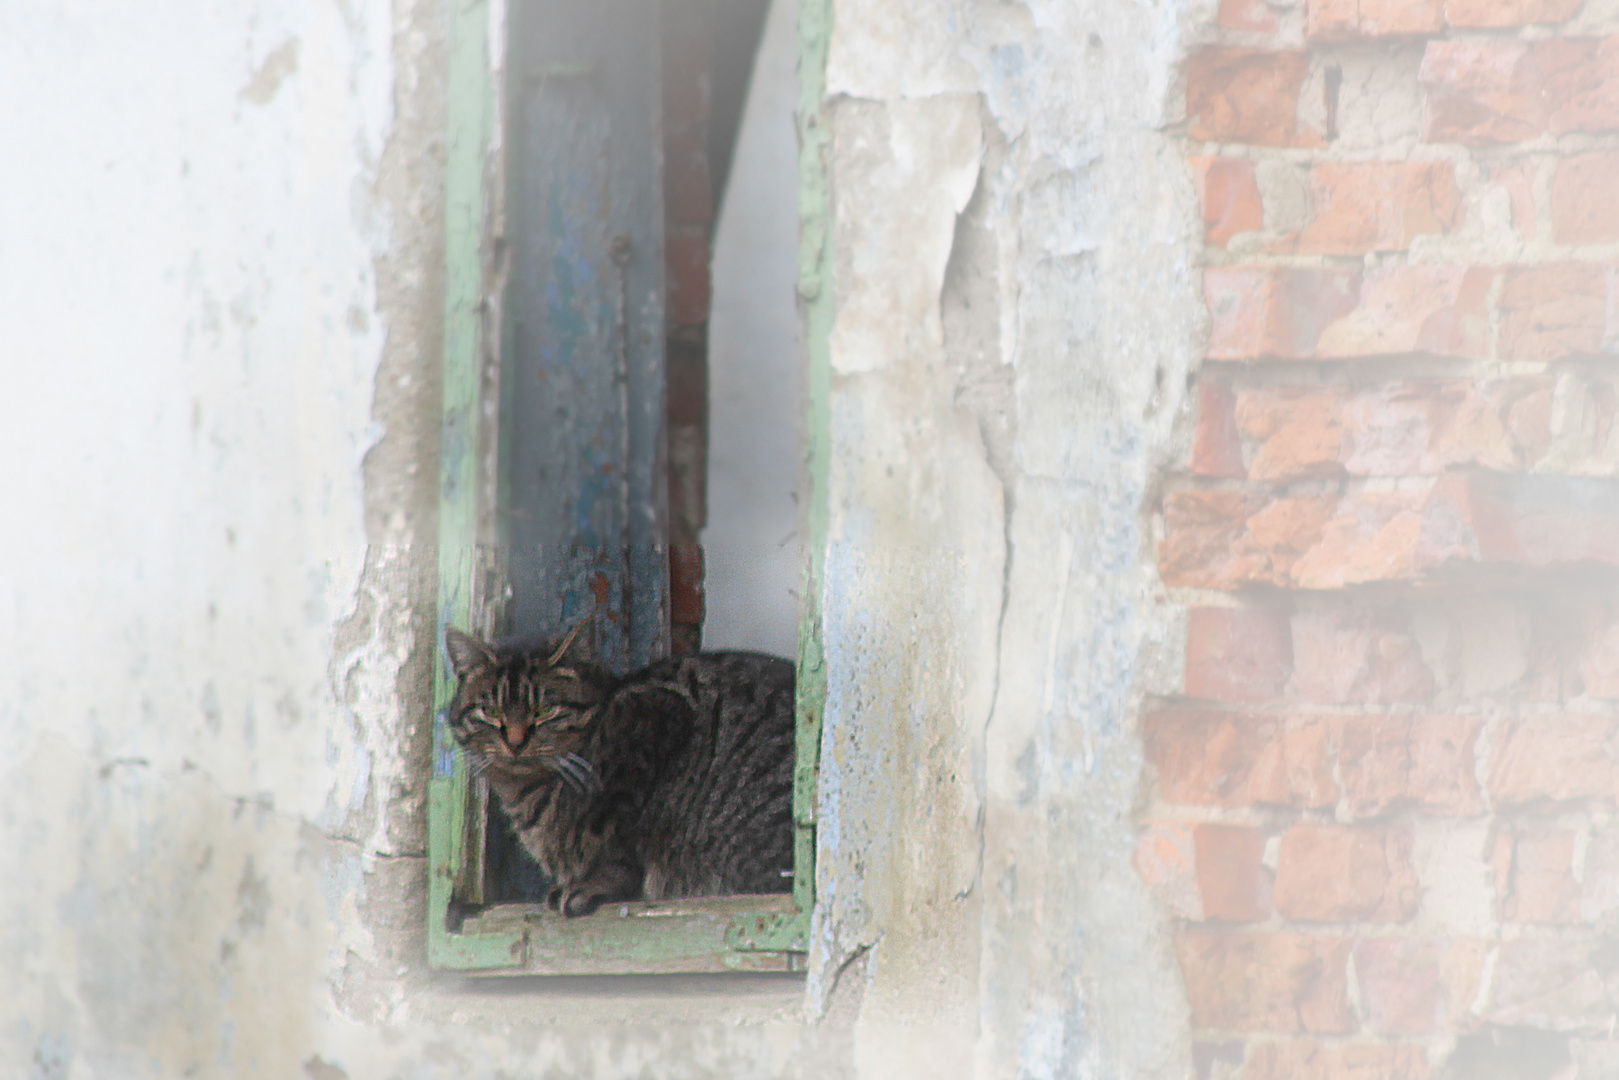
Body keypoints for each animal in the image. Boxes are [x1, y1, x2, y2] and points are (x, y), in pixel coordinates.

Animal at [443, 628, 796, 919]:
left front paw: (594, 883)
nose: (515, 742)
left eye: (545, 710)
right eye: (490, 711)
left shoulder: (650, 716)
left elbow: (615, 841)